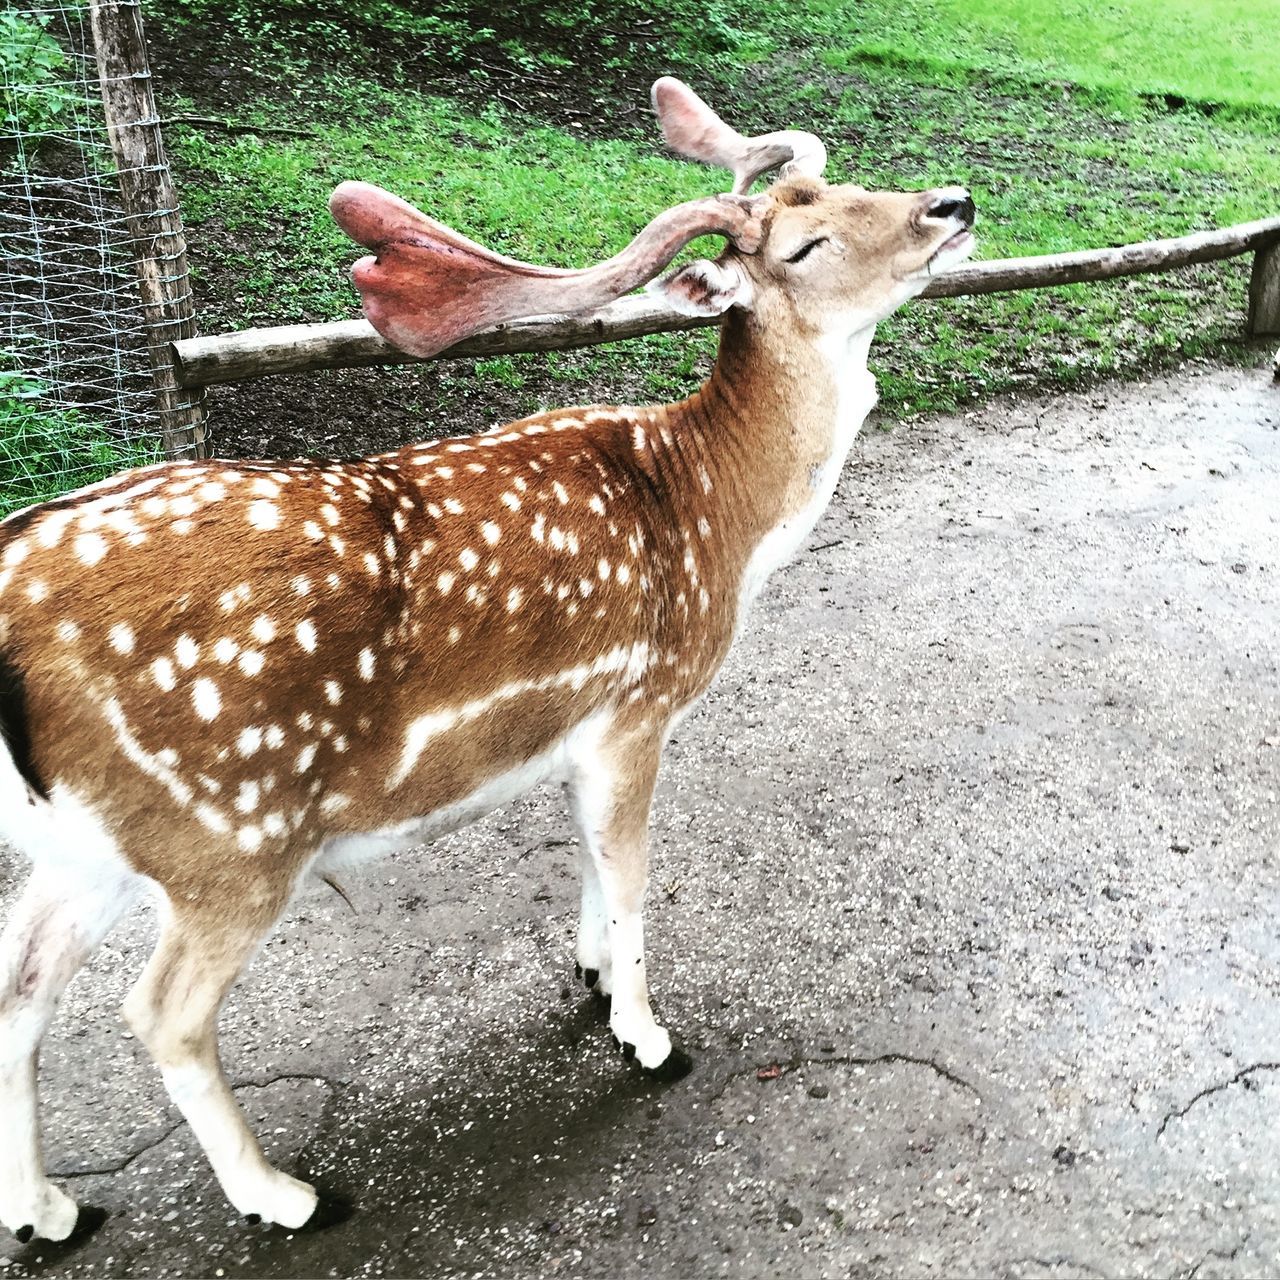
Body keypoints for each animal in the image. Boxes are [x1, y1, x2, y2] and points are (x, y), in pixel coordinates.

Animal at [0, 80, 972, 1239]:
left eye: (859, 185)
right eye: (806, 241)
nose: (953, 202)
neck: (715, 519)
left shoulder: (579, 731)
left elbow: (590, 858)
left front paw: (592, 976)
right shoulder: (639, 706)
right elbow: (633, 872)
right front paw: (647, 1036)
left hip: (86, 847)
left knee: (17, 986)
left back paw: (49, 1209)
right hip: (228, 836)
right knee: (159, 1010)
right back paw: (285, 1195)